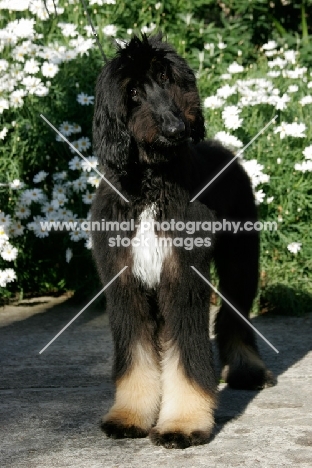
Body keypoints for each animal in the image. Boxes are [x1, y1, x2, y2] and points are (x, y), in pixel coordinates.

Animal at [91, 33, 276, 450]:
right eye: (133, 91)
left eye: (165, 76)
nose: (176, 127)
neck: (150, 188)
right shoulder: (125, 281)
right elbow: (137, 354)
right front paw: (130, 415)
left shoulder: (182, 275)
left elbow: (188, 355)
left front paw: (183, 423)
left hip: (241, 260)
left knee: (234, 316)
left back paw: (247, 370)